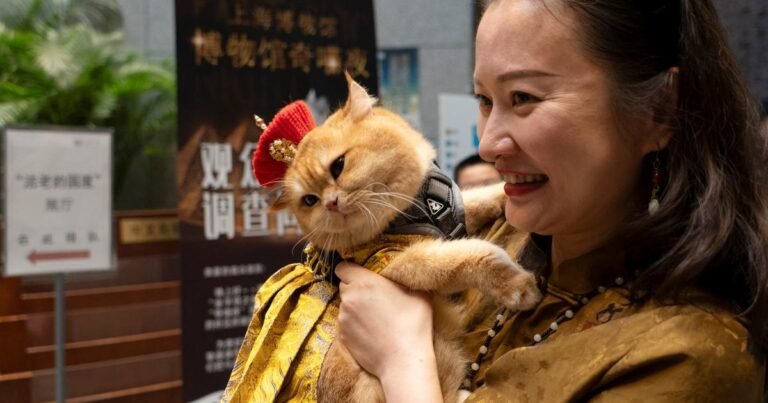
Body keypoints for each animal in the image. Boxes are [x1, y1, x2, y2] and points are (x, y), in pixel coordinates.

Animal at [270, 76, 540, 403]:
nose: (331, 203)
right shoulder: (403, 261)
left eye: (338, 165)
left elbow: (480, 199)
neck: (412, 209)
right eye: (310, 200)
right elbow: (471, 256)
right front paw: (518, 286)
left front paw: (505, 194)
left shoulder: (456, 212)